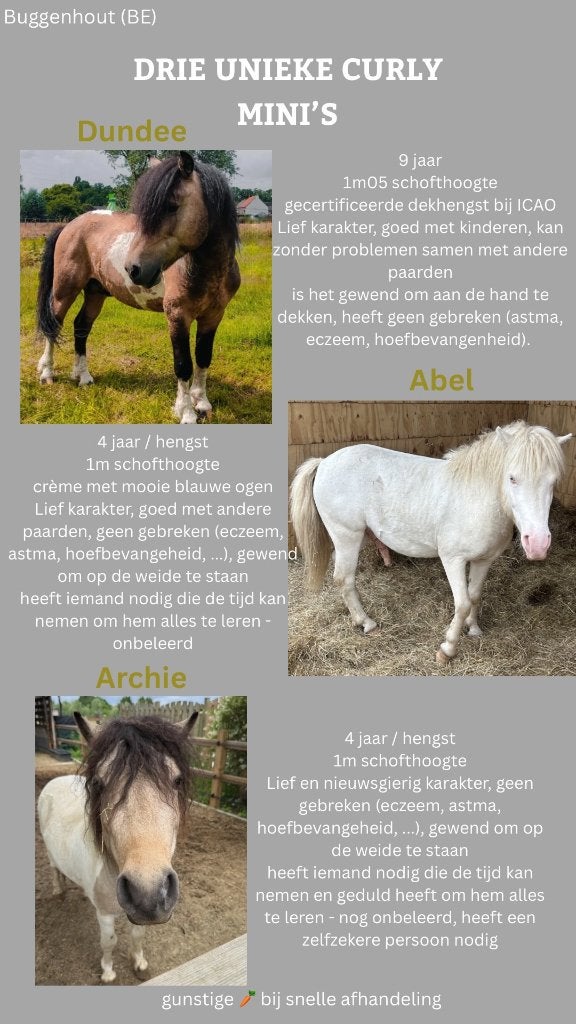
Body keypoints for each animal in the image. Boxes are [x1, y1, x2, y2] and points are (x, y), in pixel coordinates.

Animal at [35, 152, 240, 423]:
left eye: (172, 206)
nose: (133, 269)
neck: (208, 271)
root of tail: (69, 225)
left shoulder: (213, 316)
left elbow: (203, 357)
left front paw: (202, 403)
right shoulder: (177, 316)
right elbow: (183, 364)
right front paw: (186, 412)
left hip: (95, 293)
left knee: (81, 327)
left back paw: (83, 377)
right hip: (64, 290)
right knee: (54, 325)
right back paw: (47, 374)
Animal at [37, 711, 197, 983]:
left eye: (177, 780)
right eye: (99, 783)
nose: (148, 894)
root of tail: (56, 780)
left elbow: (138, 935)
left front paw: (139, 963)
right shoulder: (104, 914)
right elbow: (109, 942)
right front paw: (108, 972)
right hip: (49, 851)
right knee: (53, 867)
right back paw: (59, 890)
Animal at [290, 422, 573, 665]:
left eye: (553, 482)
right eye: (512, 478)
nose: (538, 544)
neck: (477, 498)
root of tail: (325, 462)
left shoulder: (484, 560)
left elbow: (475, 595)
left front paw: (474, 629)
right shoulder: (453, 559)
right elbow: (462, 603)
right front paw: (447, 649)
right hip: (347, 535)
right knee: (344, 579)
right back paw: (366, 622)